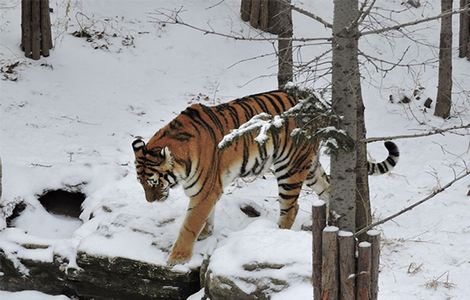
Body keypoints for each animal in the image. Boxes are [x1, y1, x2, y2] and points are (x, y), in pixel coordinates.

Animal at [132, 89, 400, 264]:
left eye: (154, 182)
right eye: (141, 183)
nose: (150, 200)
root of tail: (316, 108)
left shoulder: (206, 189)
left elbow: (190, 223)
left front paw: (178, 257)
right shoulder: (209, 189)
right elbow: (205, 217)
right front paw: (206, 233)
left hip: (289, 168)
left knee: (291, 208)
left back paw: (276, 234)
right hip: (310, 167)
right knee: (329, 189)